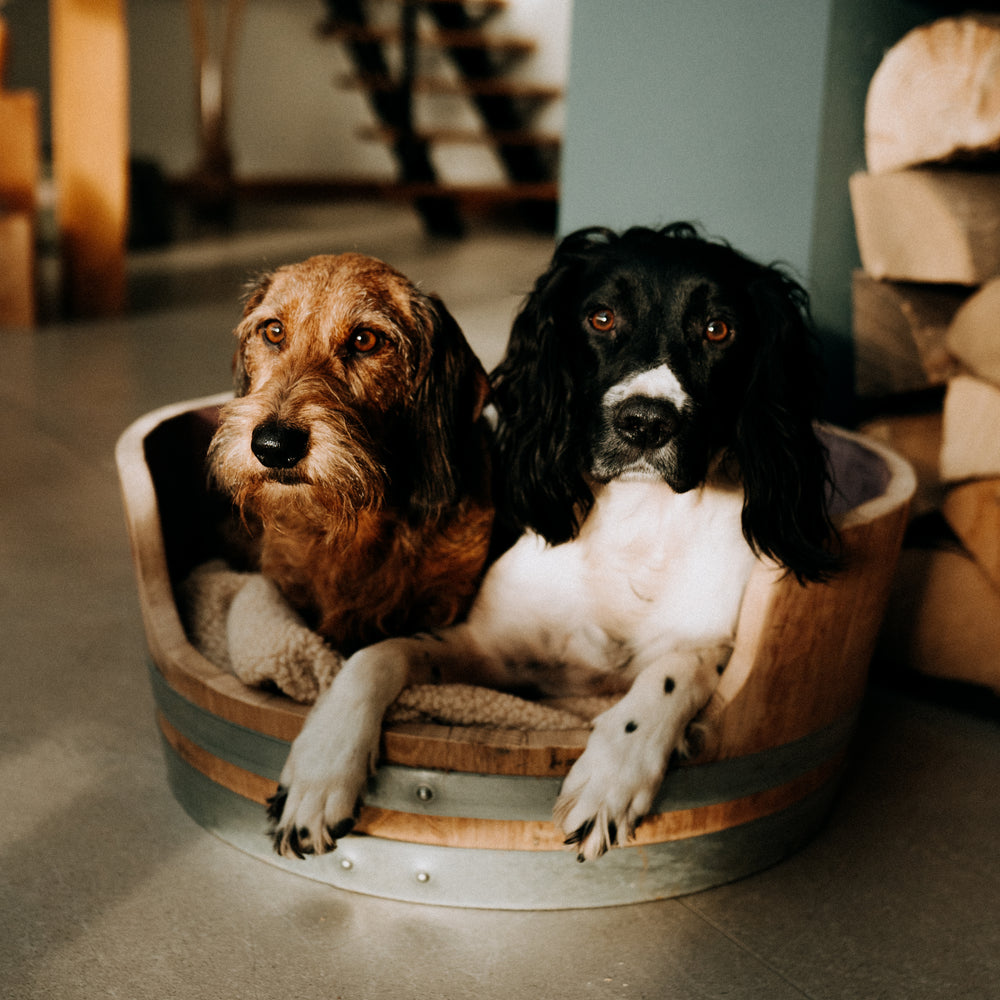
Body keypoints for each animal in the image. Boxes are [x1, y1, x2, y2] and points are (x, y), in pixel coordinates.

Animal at [270, 225, 840, 860]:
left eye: (719, 329)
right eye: (601, 317)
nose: (645, 423)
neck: (637, 518)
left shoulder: (710, 642)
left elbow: (673, 671)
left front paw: (612, 773)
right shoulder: (492, 650)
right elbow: (378, 656)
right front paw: (323, 766)